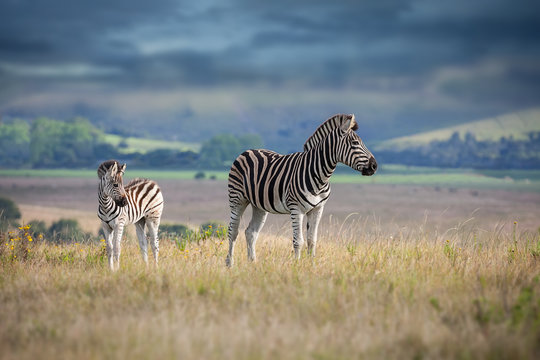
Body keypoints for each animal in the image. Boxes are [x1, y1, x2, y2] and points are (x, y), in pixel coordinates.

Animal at [226, 114, 378, 266]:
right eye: (354, 143)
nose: (374, 166)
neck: (319, 176)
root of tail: (247, 151)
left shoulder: (318, 209)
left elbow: (312, 240)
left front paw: (312, 265)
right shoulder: (296, 209)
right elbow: (298, 241)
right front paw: (296, 266)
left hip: (259, 206)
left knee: (251, 232)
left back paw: (253, 263)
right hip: (237, 199)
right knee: (233, 231)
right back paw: (230, 264)